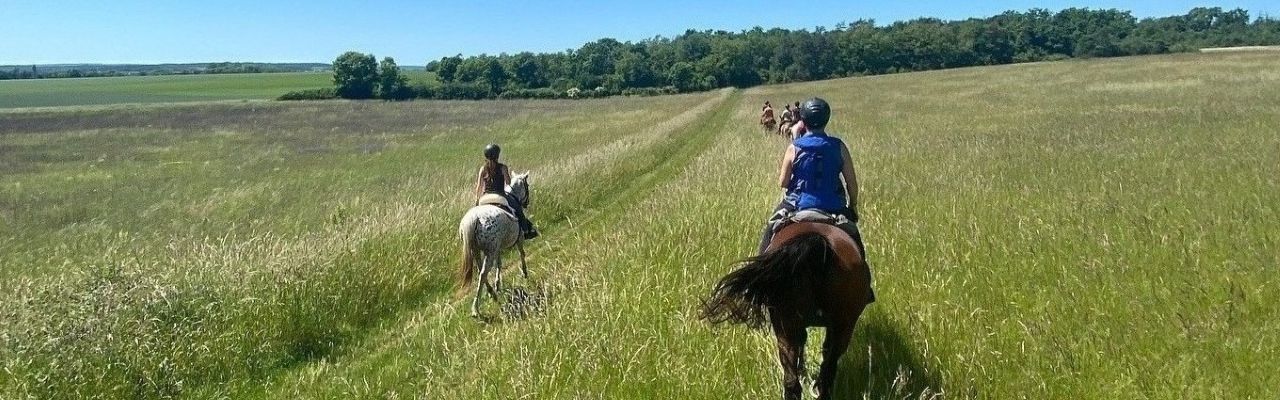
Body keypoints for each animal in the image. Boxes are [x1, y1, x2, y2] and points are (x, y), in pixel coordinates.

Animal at [458, 171, 533, 318]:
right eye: (527, 185)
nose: (526, 203)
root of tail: (473, 219)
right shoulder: (519, 239)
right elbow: (522, 254)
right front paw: (525, 273)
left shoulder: (497, 248)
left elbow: (499, 263)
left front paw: (498, 285)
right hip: (489, 251)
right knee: (483, 273)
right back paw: (476, 309)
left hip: (476, 250)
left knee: (481, 271)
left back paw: (491, 292)